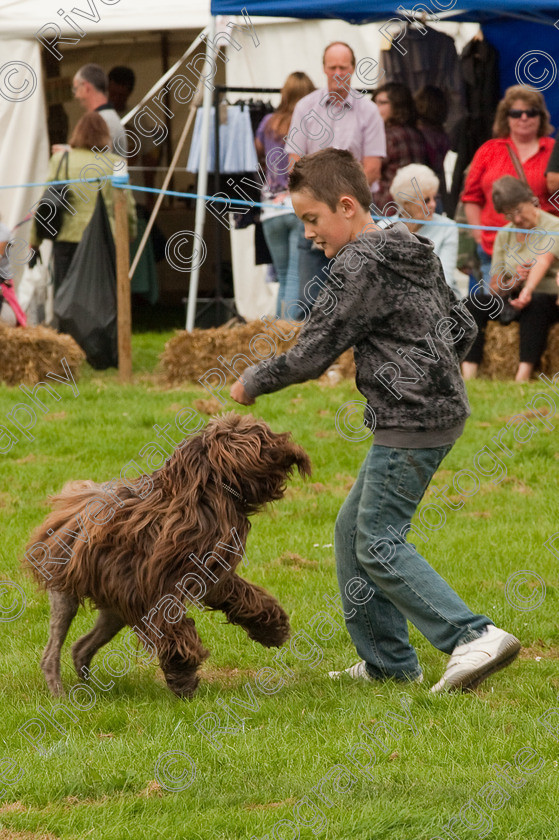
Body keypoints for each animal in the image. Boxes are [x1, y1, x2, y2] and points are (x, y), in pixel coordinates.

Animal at [21, 414, 310, 696]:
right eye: (257, 436)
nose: (288, 448)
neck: (205, 491)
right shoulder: (156, 586)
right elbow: (173, 626)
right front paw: (183, 673)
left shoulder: (209, 575)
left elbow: (242, 595)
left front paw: (272, 627)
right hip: (67, 598)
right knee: (51, 654)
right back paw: (60, 694)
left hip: (113, 610)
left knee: (80, 647)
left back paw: (87, 686)